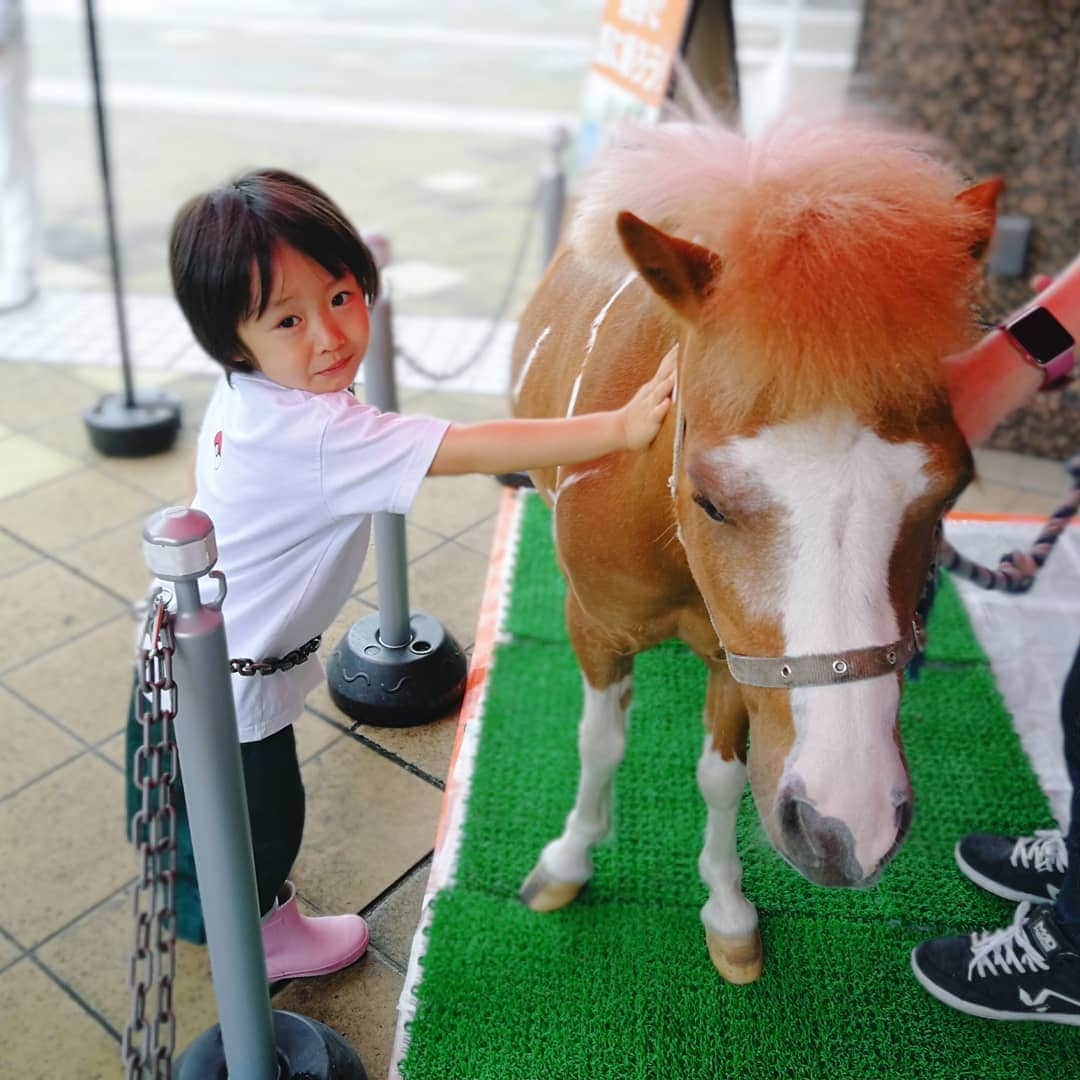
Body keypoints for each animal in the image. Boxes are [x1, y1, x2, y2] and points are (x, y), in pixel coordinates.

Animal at [509, 120, 997, 989]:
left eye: (950, 493)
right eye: (709, 498)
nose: (849, 826)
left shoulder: (736, 659)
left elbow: (723, 775)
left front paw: (727, 909)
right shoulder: (594, 626)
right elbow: (599, 743)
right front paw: (569, 859)